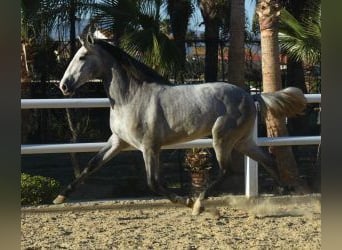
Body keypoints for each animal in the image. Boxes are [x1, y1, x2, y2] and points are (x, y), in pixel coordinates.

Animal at [54, 31, 308, 215]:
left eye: (82, 57)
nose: (64, 86)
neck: (131, 98)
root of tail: (250, 95)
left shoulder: (149, 147)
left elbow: (154, 183)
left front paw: (186, 201)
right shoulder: (118, 141)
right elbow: (91, 166)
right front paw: (60, 197)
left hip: (222, 138)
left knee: (227, 170)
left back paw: (198, 204)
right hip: (242, 141)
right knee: (268, 160)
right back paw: (287, 192)